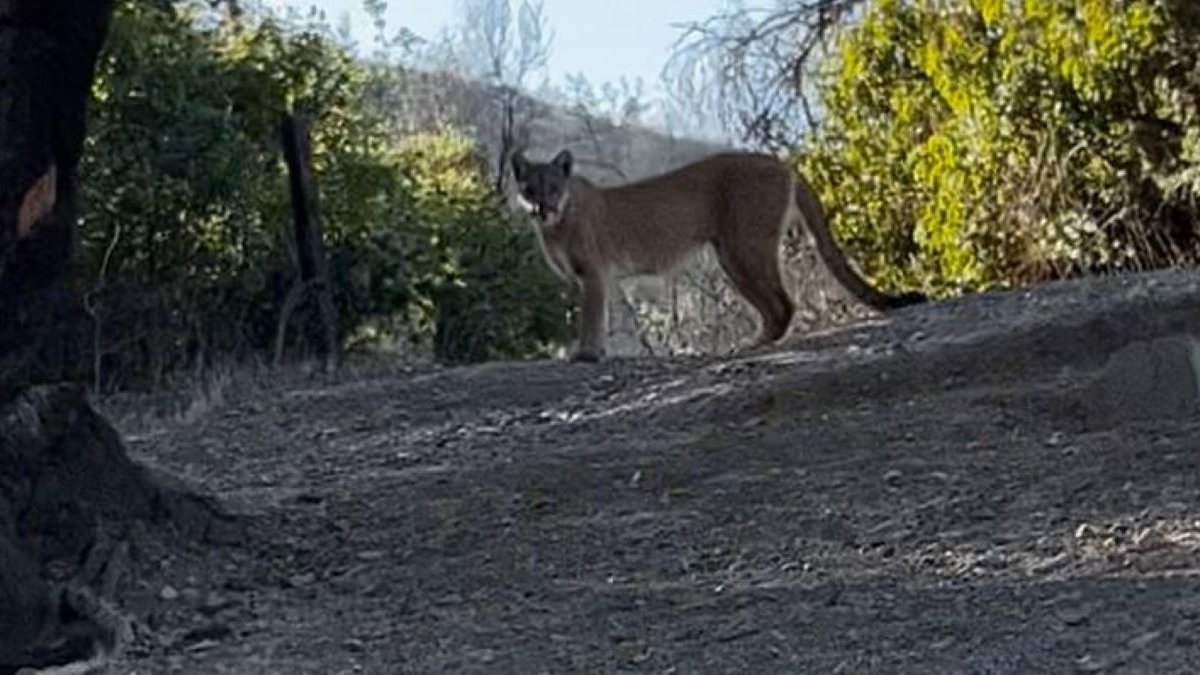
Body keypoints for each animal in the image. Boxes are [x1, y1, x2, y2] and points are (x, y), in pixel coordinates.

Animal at [511, 149, 921, 360]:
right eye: (530, 188)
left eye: (553, 186)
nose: (542, 207)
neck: (557, 223)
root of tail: (780, 161)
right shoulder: (580, 279)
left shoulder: (593, 273)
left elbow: (591, 316)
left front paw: (587, 353)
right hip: (732, 255)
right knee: (775, 306)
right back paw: (756, 340)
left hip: (745, 246)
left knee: (783, 303)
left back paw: (754, 344)